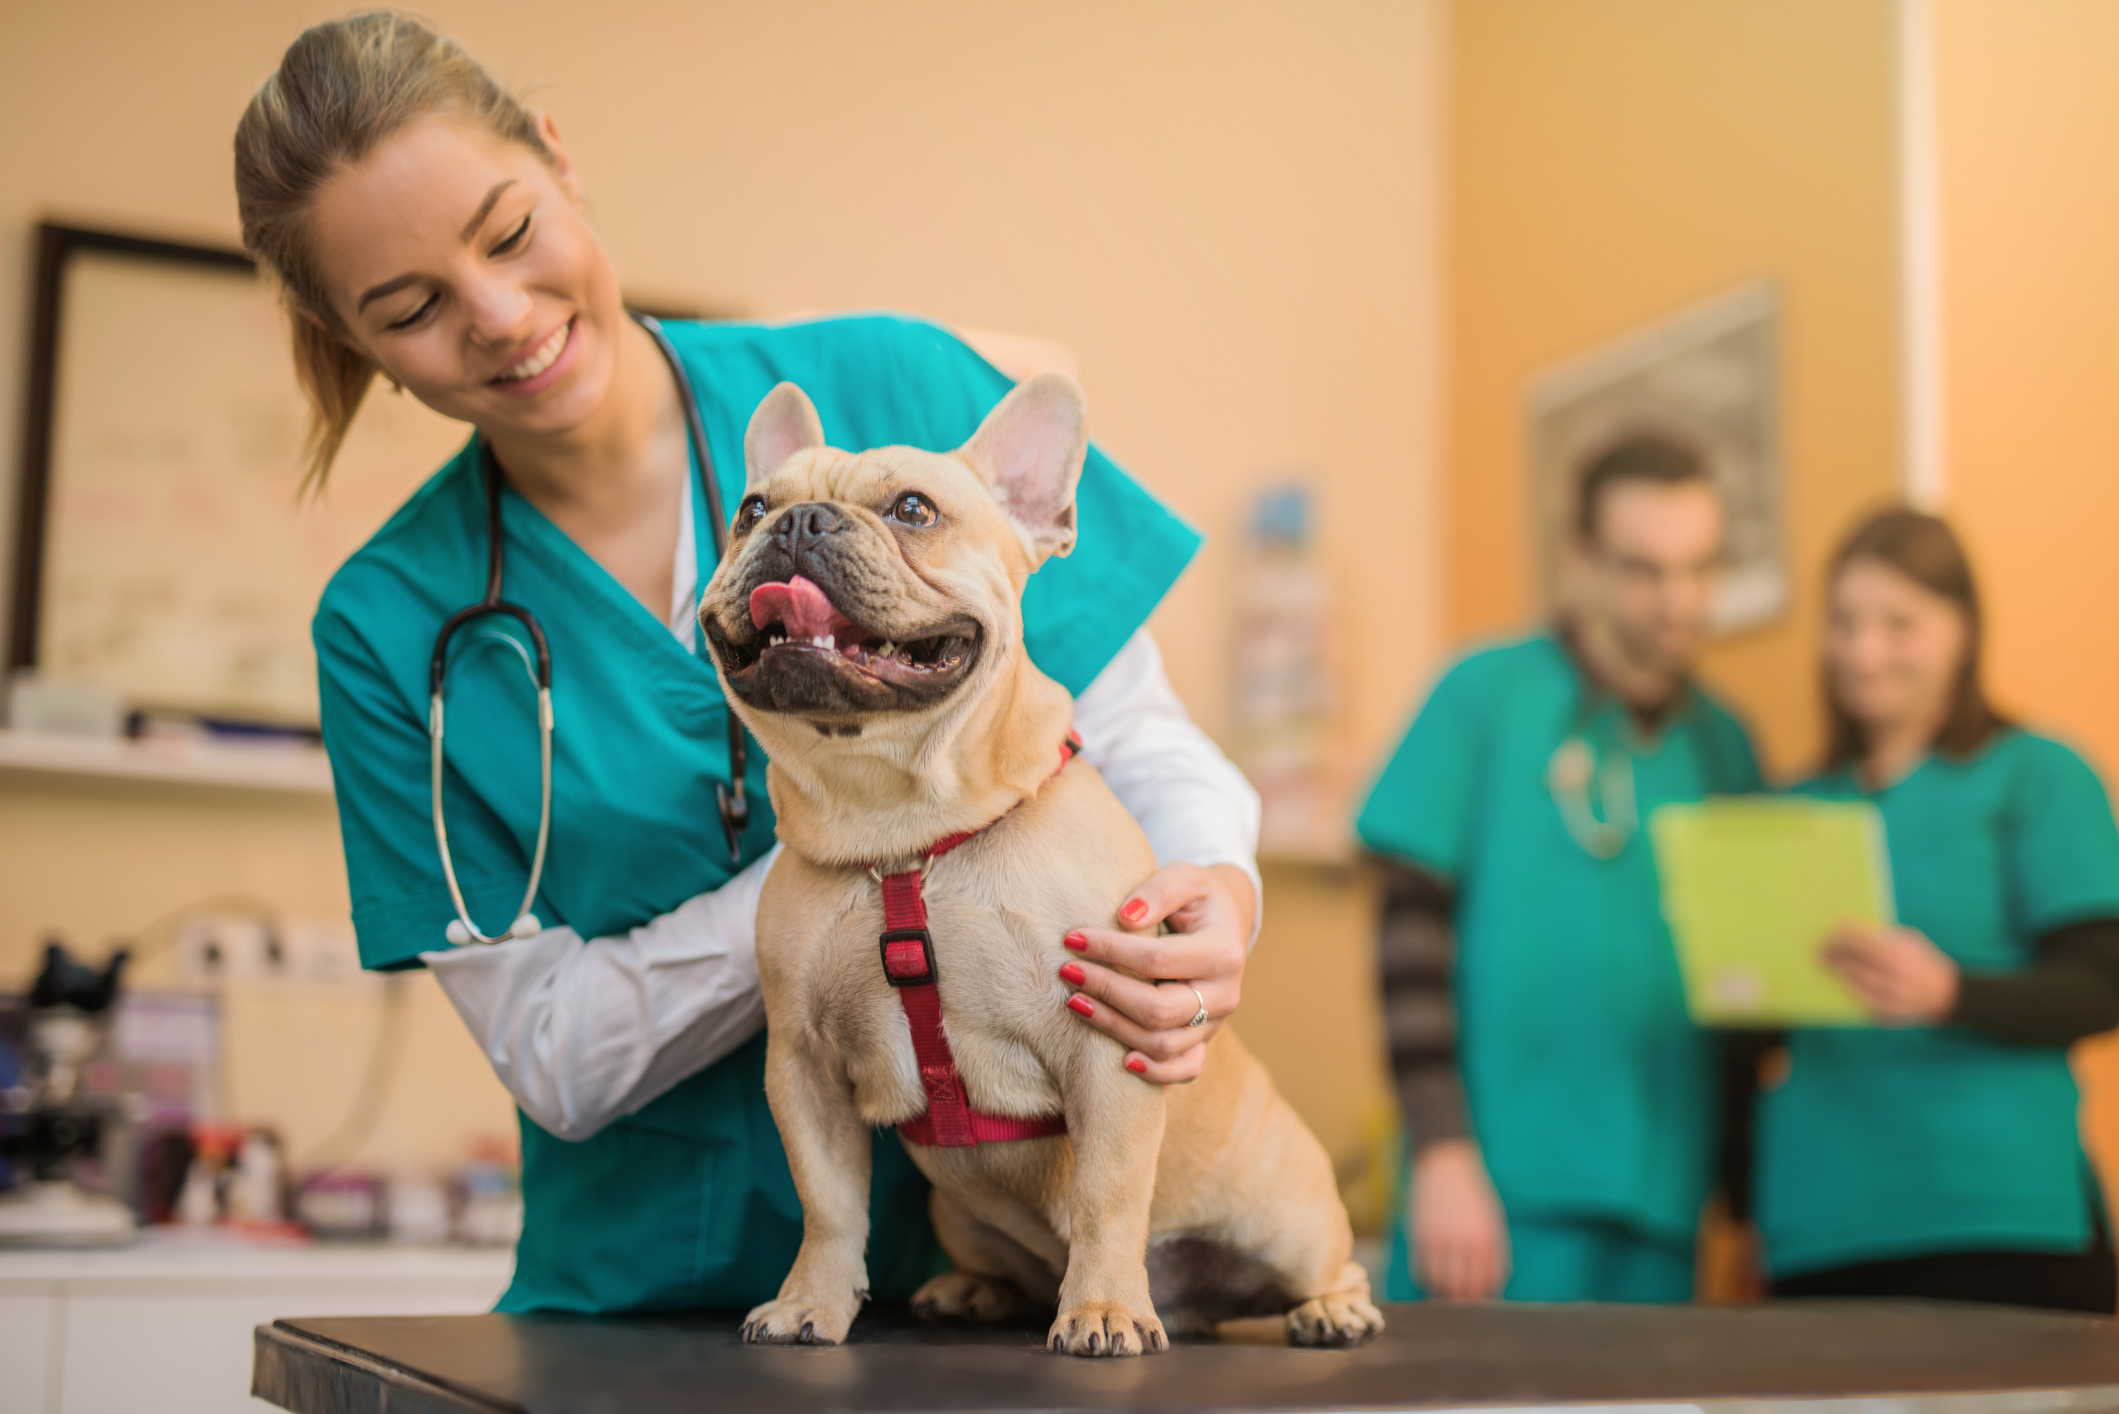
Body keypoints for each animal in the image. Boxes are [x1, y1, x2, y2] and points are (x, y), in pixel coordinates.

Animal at [695, 373, 1381, 1356]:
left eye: (913, 509)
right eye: (750, 510)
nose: (798, 524)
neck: (904, 831)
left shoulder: (1110, 1048)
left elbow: (1105, 1195)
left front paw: (1103, 1310)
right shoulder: (803, 1068)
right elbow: (826, 1205)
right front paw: (809, 1303)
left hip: (1288, 1217)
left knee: (1330, 1261)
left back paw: (1328, 1309)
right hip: (956, 1212)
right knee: (1008, 1267)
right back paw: (975, 1291)